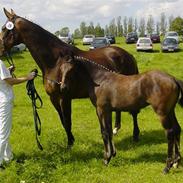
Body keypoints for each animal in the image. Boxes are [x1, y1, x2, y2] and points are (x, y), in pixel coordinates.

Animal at [0, 8, 139, 147]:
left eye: (4, 28)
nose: (0, 49)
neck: (55, 62)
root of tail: (127, 55)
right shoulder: (54, 98)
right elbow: (63, 121)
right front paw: (71, 140)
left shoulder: (64, 97)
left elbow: (67, 121)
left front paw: (70, 143)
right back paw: (115, 129)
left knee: (134, 111)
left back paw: (135, 135)